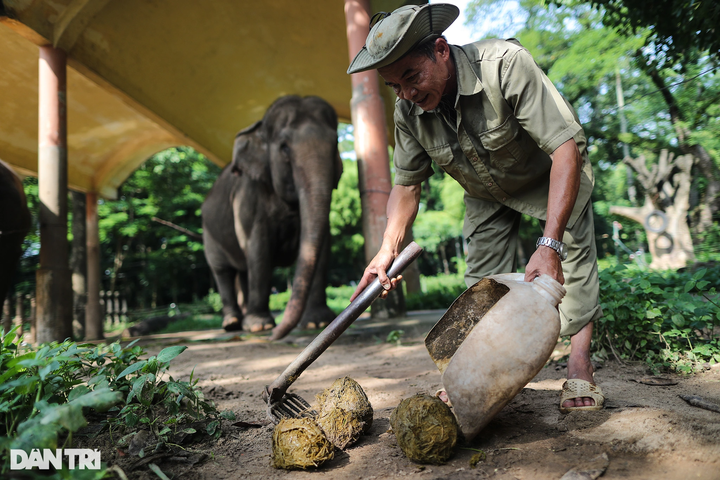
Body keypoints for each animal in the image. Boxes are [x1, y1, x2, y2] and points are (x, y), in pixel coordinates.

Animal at [201, 95, 342, 339]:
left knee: (243, 271)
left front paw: (317, 323)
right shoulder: (247, 197)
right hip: (208, 233)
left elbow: (323, 245)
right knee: (223, 271)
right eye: (284, 147)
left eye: (335, 143)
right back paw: (233, 324)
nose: (275, 336)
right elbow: (258, 249)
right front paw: (260, 326)